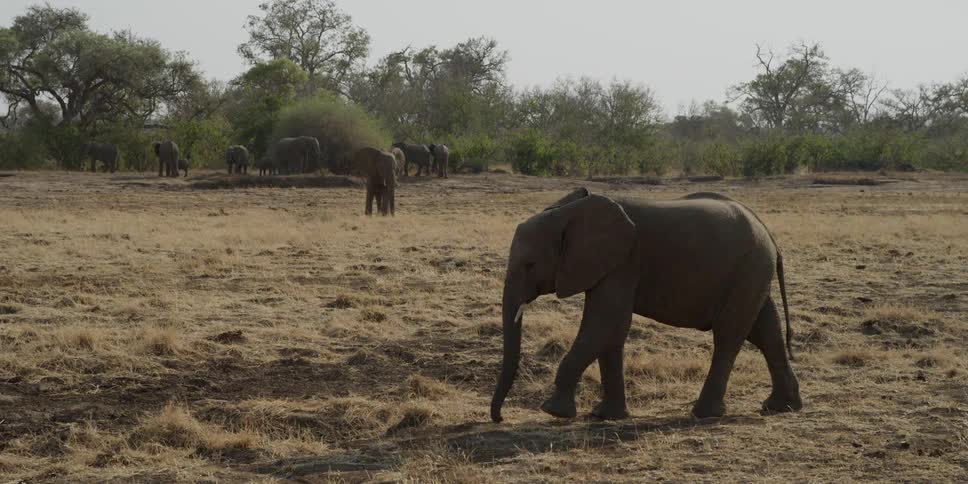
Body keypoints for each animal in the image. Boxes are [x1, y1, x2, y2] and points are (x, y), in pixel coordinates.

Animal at [490, 188, 802, 423]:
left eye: (530, 265)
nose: (500, 418)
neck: (569, 212)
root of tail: (769, 235)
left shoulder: (624, 261)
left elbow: (604, 323)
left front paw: (554, 412)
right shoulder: (609, 265)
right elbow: (611, 331)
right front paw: (606, 416)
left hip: (748, 269)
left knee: (729, 334)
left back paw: (704, 414)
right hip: (751, 273)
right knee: (765, 331)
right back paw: (781, 407)